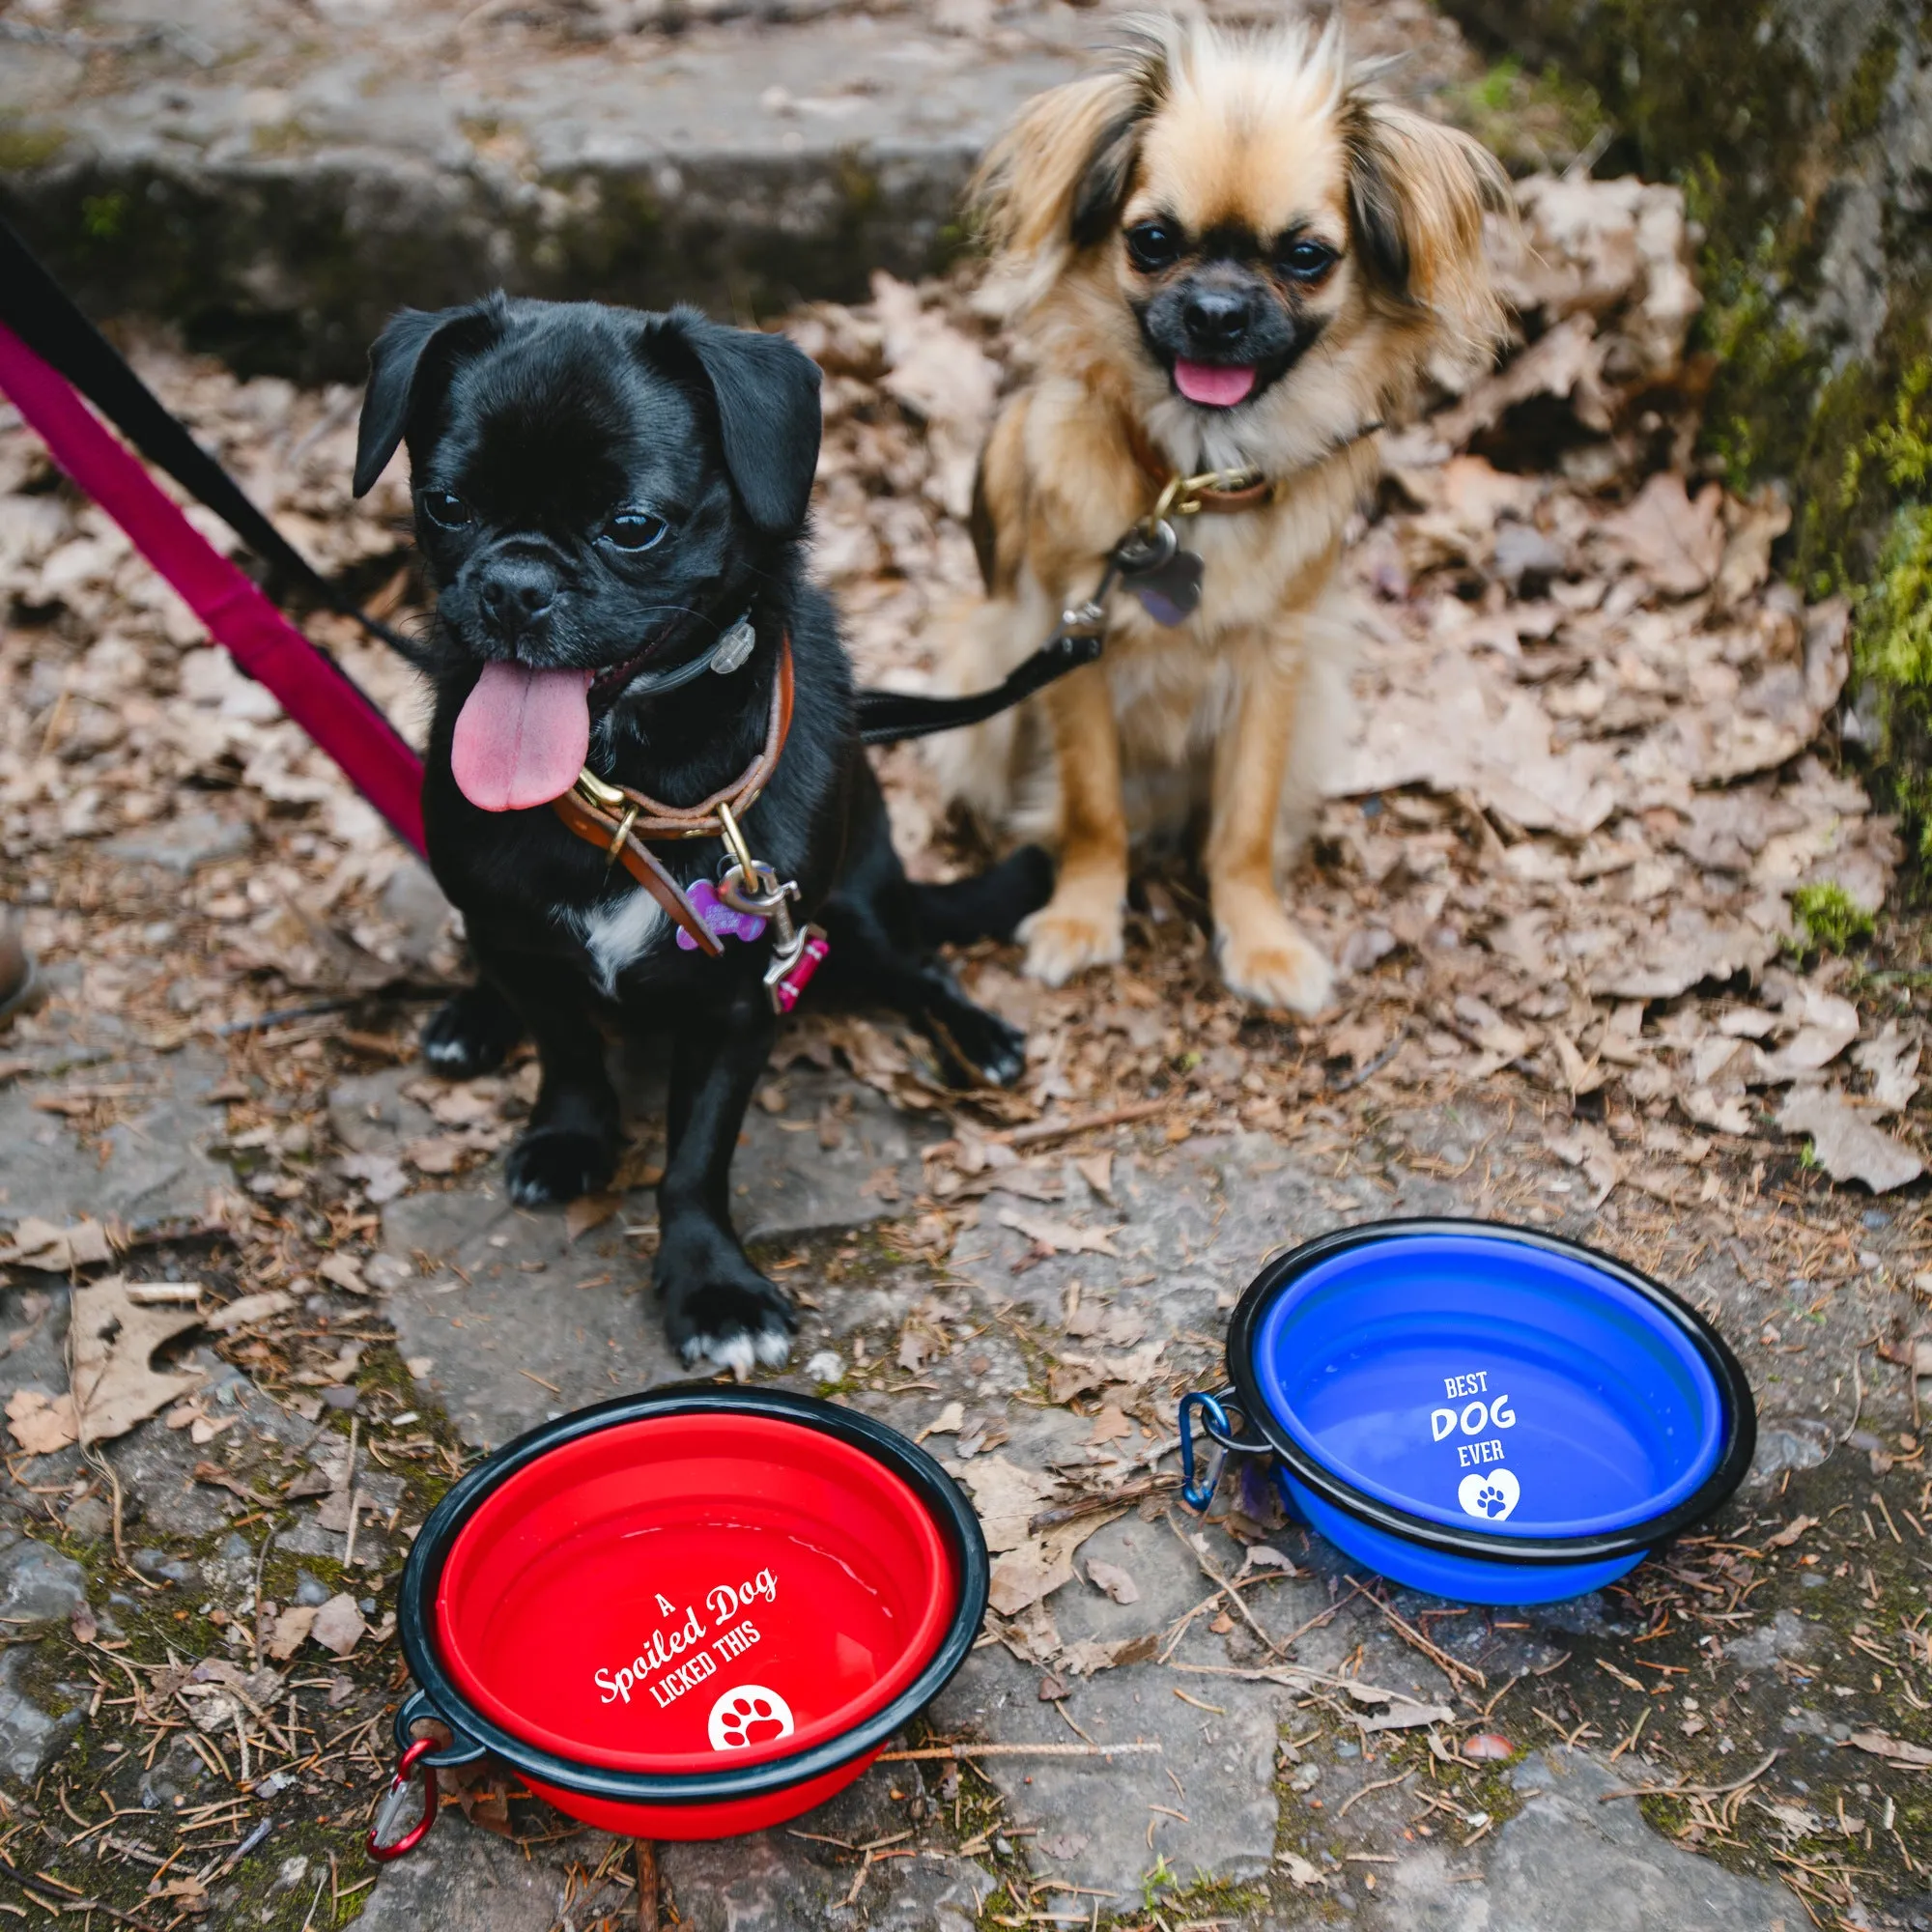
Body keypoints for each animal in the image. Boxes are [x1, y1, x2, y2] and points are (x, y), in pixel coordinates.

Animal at [348, 294, 1043, 1368]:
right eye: (446, 505)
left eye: (633, 527)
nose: (513, 585)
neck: (627, 788)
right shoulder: (516, 936)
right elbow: (567, 1047)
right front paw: (570, 1137)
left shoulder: (742, 999)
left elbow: (695, 1156)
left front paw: (713, 1286)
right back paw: (473, 1014)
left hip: (852, 908)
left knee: (917, 961)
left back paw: (976, 1031)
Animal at [931, 18, 1507, 1012]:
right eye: (1153, 241)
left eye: (1307, 257)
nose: (1216, 311)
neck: (1193, 480)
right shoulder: (1072, 648)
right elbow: (1092, 806)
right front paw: (1083, 913)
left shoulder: (1277, 664)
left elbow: (1244, 824)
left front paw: (1258, 937)